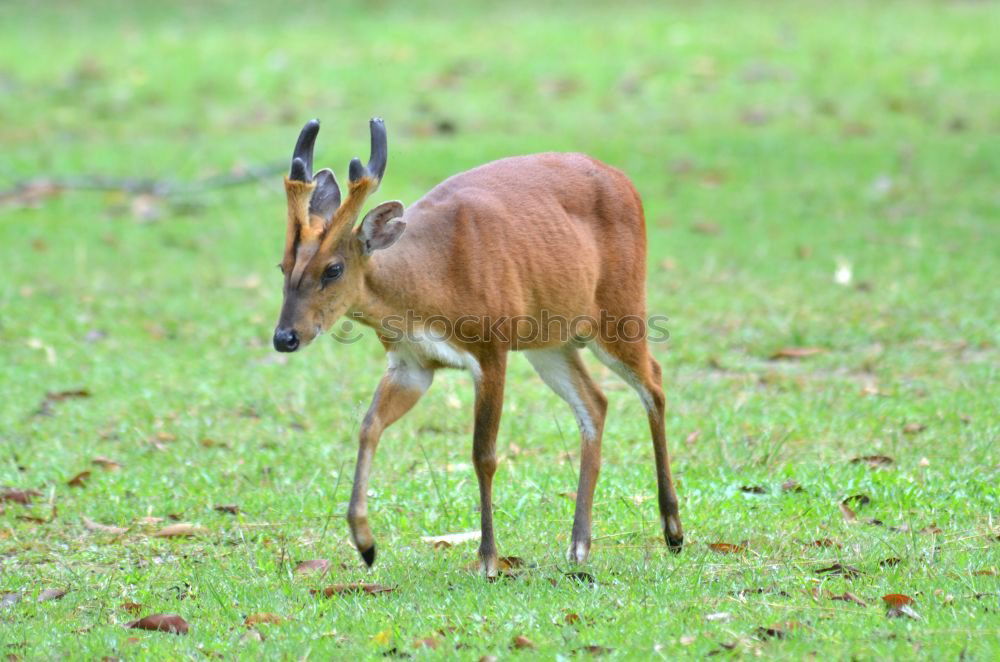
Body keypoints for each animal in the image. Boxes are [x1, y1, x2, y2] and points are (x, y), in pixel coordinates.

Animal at [272, 118, 680, 576]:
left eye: (334, 269)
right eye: (283, 266)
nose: (284, 337)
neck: (429, 285)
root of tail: (626, 182)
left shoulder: (491, 347)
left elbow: (483, 454)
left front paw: (488, 559)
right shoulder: (411, 364)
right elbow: (368, 425)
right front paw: (365, 544)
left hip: (620, 307)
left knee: (654, 383)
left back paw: (672, 531)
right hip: (549, 340)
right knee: (595, 402)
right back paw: (579, 545)